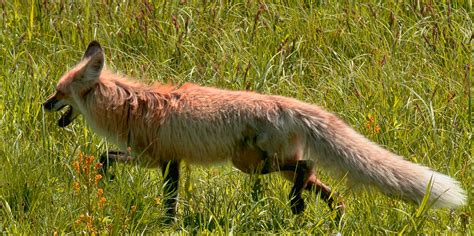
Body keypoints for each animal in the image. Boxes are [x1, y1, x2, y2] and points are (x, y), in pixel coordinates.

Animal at [44, 41, 466, 221]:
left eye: (59, 93)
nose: (42, 105)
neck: (130, 107)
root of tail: (292, 105)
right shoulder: (163, 160)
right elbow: (109, 159)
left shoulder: (159, 159)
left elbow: (159, 194)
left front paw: (165, 225)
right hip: (261, 164)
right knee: (321, 182)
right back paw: (329, 218)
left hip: (252, 164)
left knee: (307, 170)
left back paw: (297, 208)